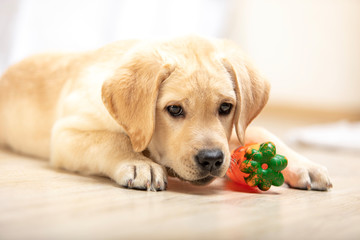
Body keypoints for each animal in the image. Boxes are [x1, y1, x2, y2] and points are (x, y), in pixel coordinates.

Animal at [0, 35, 332, 190]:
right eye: (174, 109)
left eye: (226, 108)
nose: (212, 159)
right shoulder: (67, 133)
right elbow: (114, 140)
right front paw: (139, 164)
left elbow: (260, 130)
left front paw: (306, 165)